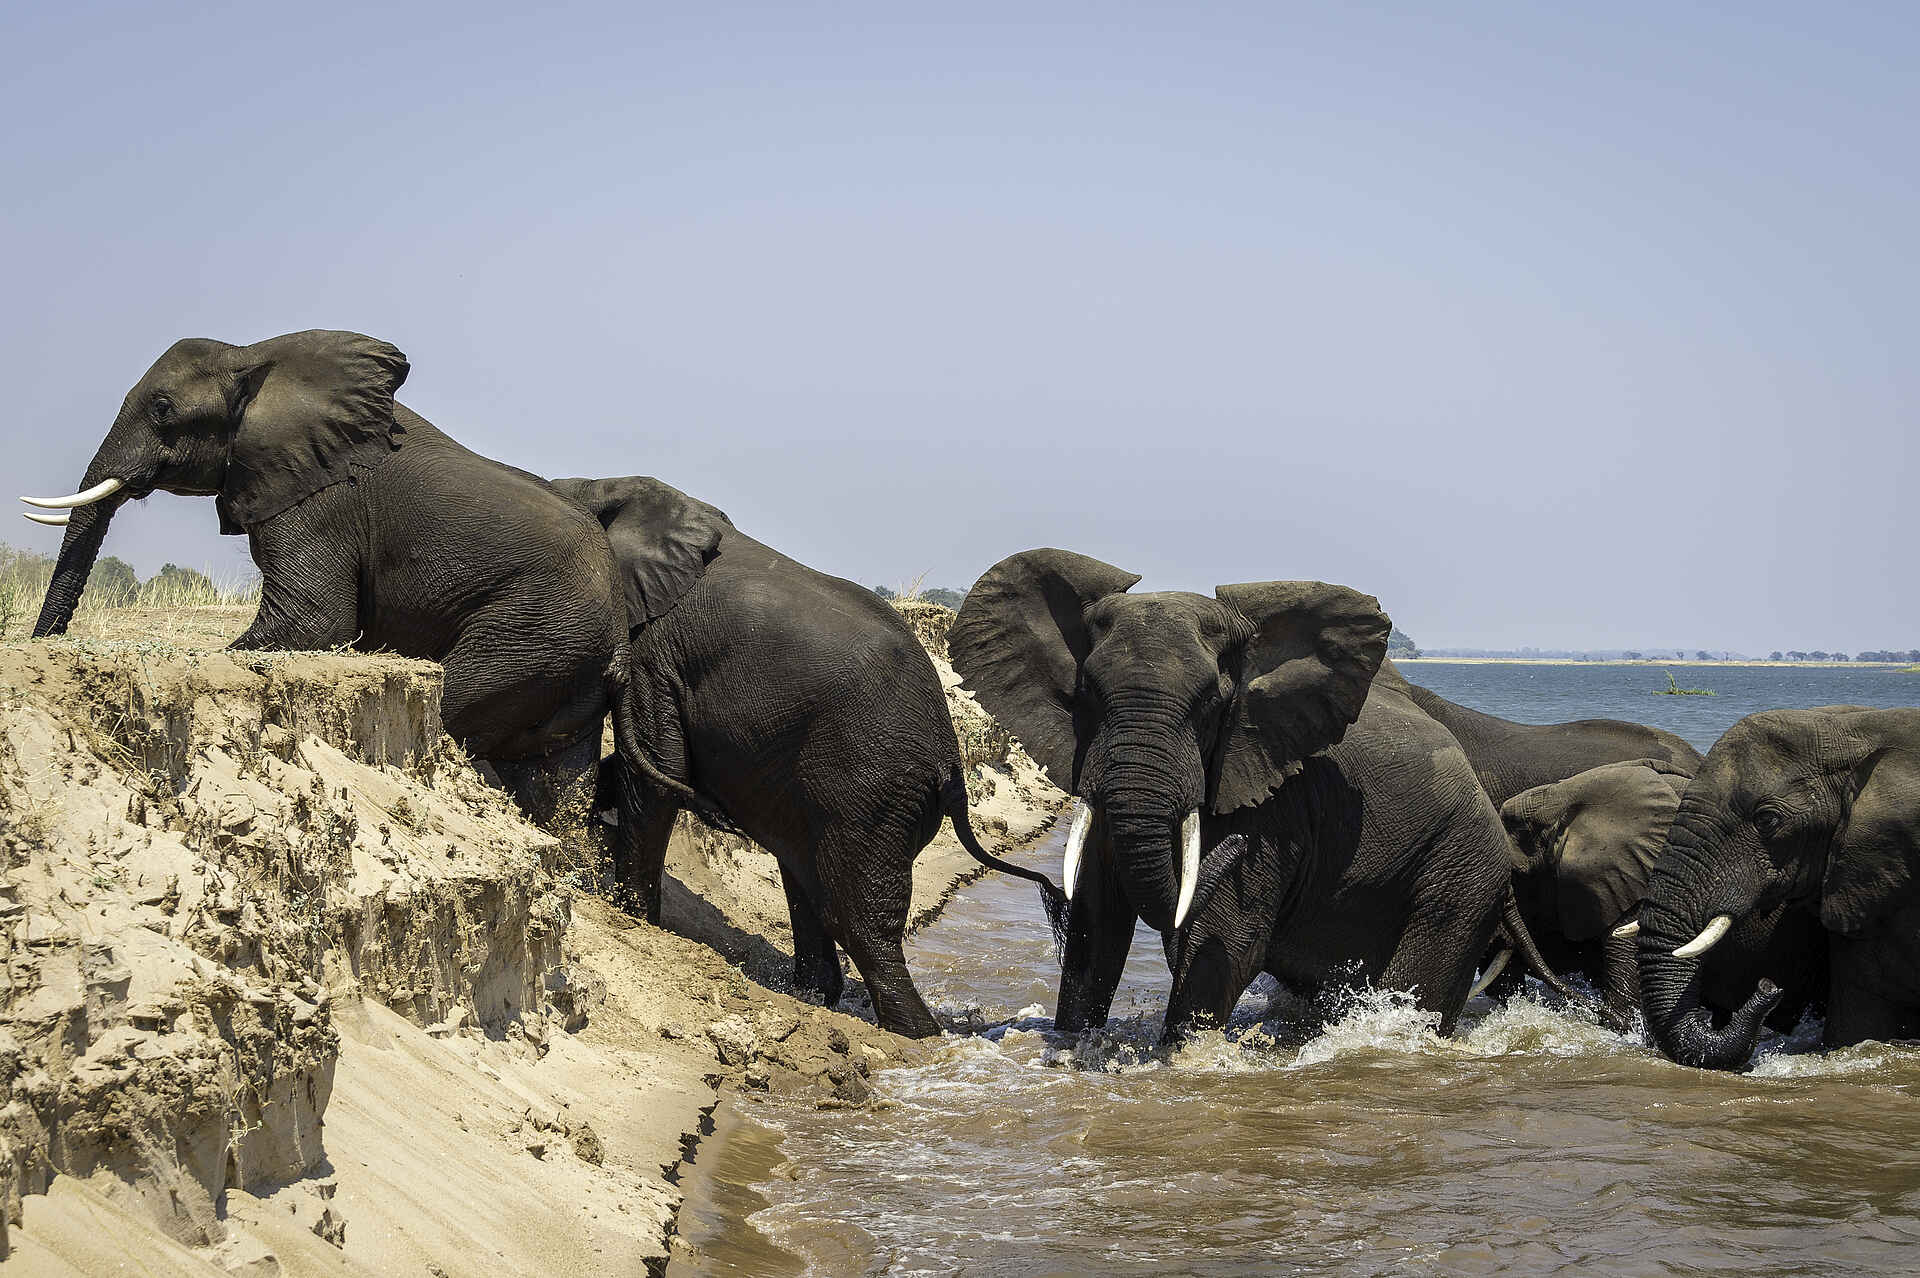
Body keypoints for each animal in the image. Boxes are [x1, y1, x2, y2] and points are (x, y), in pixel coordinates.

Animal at [22, 330, 628, 828]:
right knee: (559, 785)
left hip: (536, 632)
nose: (45, 644)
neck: (252, 359)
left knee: (456, 699)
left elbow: (315, 619)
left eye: (163, 407)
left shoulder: (318, 502)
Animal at [553, 476, 1064, 1040]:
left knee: (854, 914)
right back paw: (813, 995)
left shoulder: (656, 651)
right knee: (807, 876)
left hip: (874, 794)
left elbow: (657, 769)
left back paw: (914, 1033)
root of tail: (952, 765)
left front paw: (629, 913)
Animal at [948, 548, 1561, 1040]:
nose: (1230, 853)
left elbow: (1225, 940)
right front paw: (1072, 1042)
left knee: (1420, 977)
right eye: (1090, 693)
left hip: (1463, 874)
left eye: (1211, 702)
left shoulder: (1276, 806)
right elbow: (1095, 928)